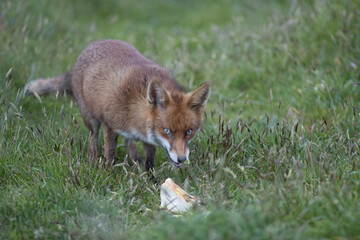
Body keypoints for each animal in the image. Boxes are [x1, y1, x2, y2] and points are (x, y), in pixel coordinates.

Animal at [27, 39, 211, 171]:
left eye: (189, 132)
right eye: (167, 131)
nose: (182, 159)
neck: (135, 106)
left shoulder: (148, 138)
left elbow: (149, 161)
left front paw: (152, 181)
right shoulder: (110, 126)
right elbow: (110, 154)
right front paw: (108, 174)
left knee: (128, 141)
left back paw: (135, 160)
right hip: (91, 119)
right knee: (94, 139)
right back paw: (93, 160)